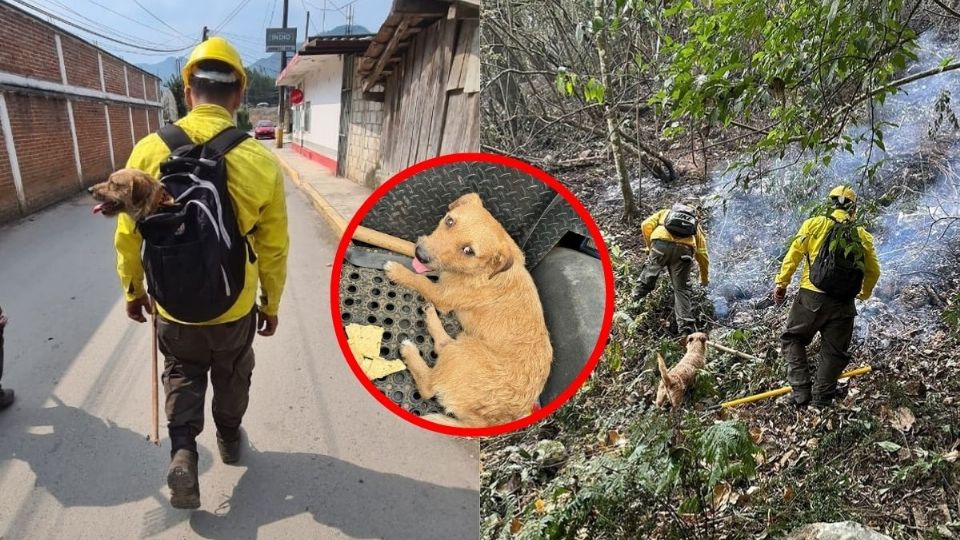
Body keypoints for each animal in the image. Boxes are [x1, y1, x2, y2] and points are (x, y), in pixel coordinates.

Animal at [378, 192, 552, 428]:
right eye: (450, 221)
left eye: (469, 251)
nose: (421, 255)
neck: (485, 272)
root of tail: (486, 422)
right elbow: (408, 250)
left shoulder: (442, 295)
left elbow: (420, 280)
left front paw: (398, 271)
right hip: (461, 346)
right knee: (443, 345)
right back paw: (430, 316)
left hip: (465, 352)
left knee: (428, 387)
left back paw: (410, 351)